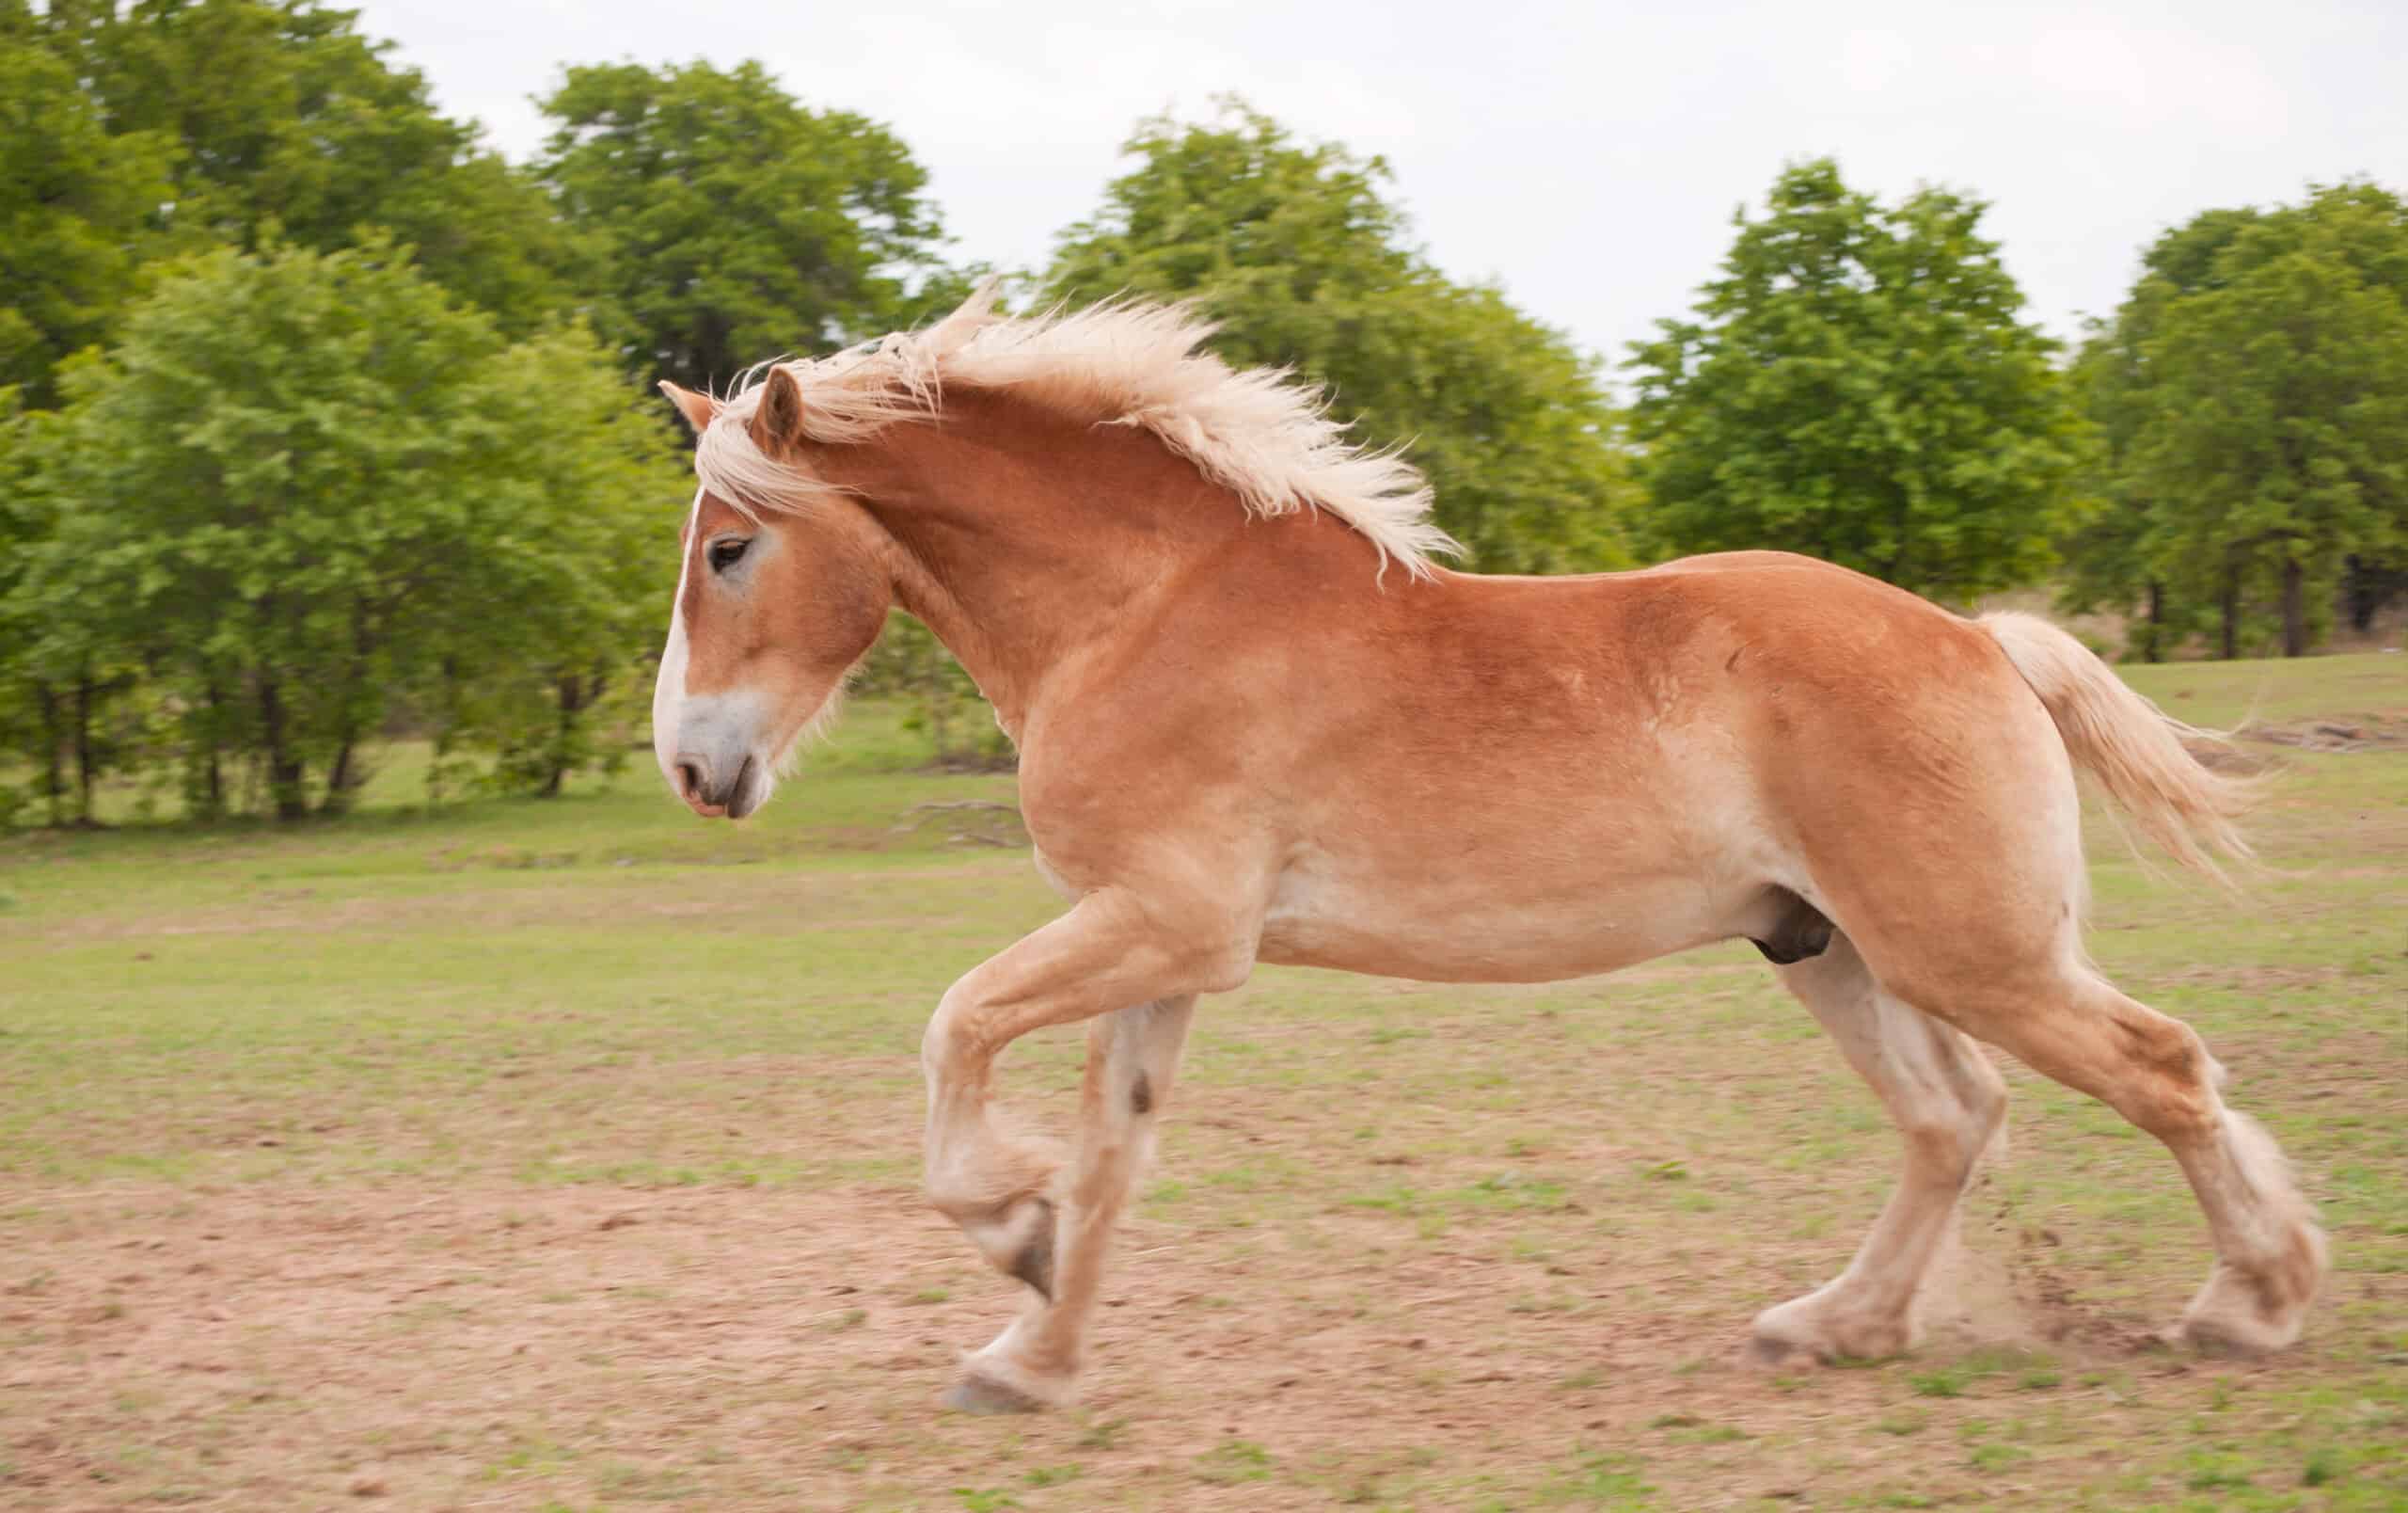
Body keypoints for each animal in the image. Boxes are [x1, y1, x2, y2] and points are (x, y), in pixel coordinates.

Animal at [640, 284, 2311, 1416]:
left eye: (731, 547)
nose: (694, 767)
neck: (1145, 610)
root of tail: (1978, 639)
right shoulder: (1152, 947)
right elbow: (1112, 1153)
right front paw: (1032, 1346)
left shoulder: (1168, 924)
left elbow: (956, 1030)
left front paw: (1005, 1227)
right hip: (1827, 947)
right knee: (1955, 1122)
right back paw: (1832, 1325)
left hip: (1970, 954)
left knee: (2159, 1070)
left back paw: (2251, 1307)